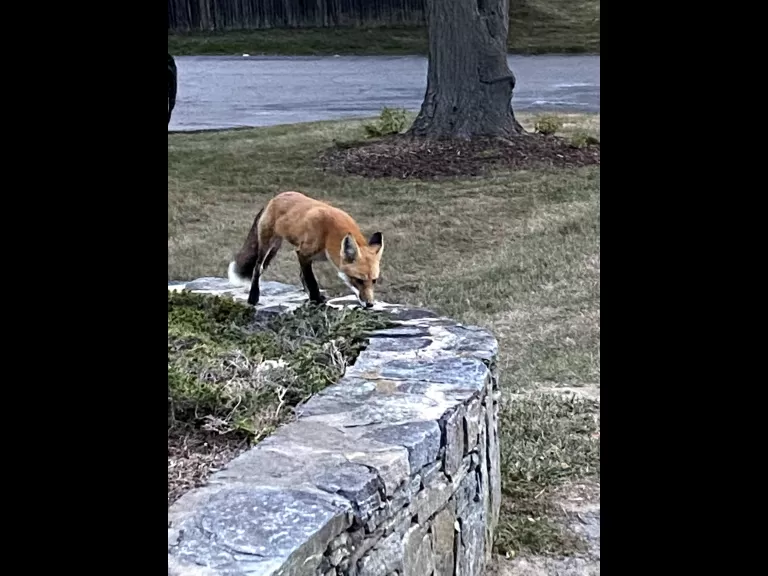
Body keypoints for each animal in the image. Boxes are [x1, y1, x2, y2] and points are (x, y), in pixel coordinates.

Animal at [227, 191, 384, 308]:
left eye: (374, 281)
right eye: (358, 280)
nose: (370, 304)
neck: (328, 234)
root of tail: (274, 198)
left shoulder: (307, 256)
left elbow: (305, 277)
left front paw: (314, 298)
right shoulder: (302, 253)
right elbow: (311, 281)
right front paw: (316, 300)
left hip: (276, 247)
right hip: (267, 246)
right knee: (257, 268)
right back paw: (253, 297)